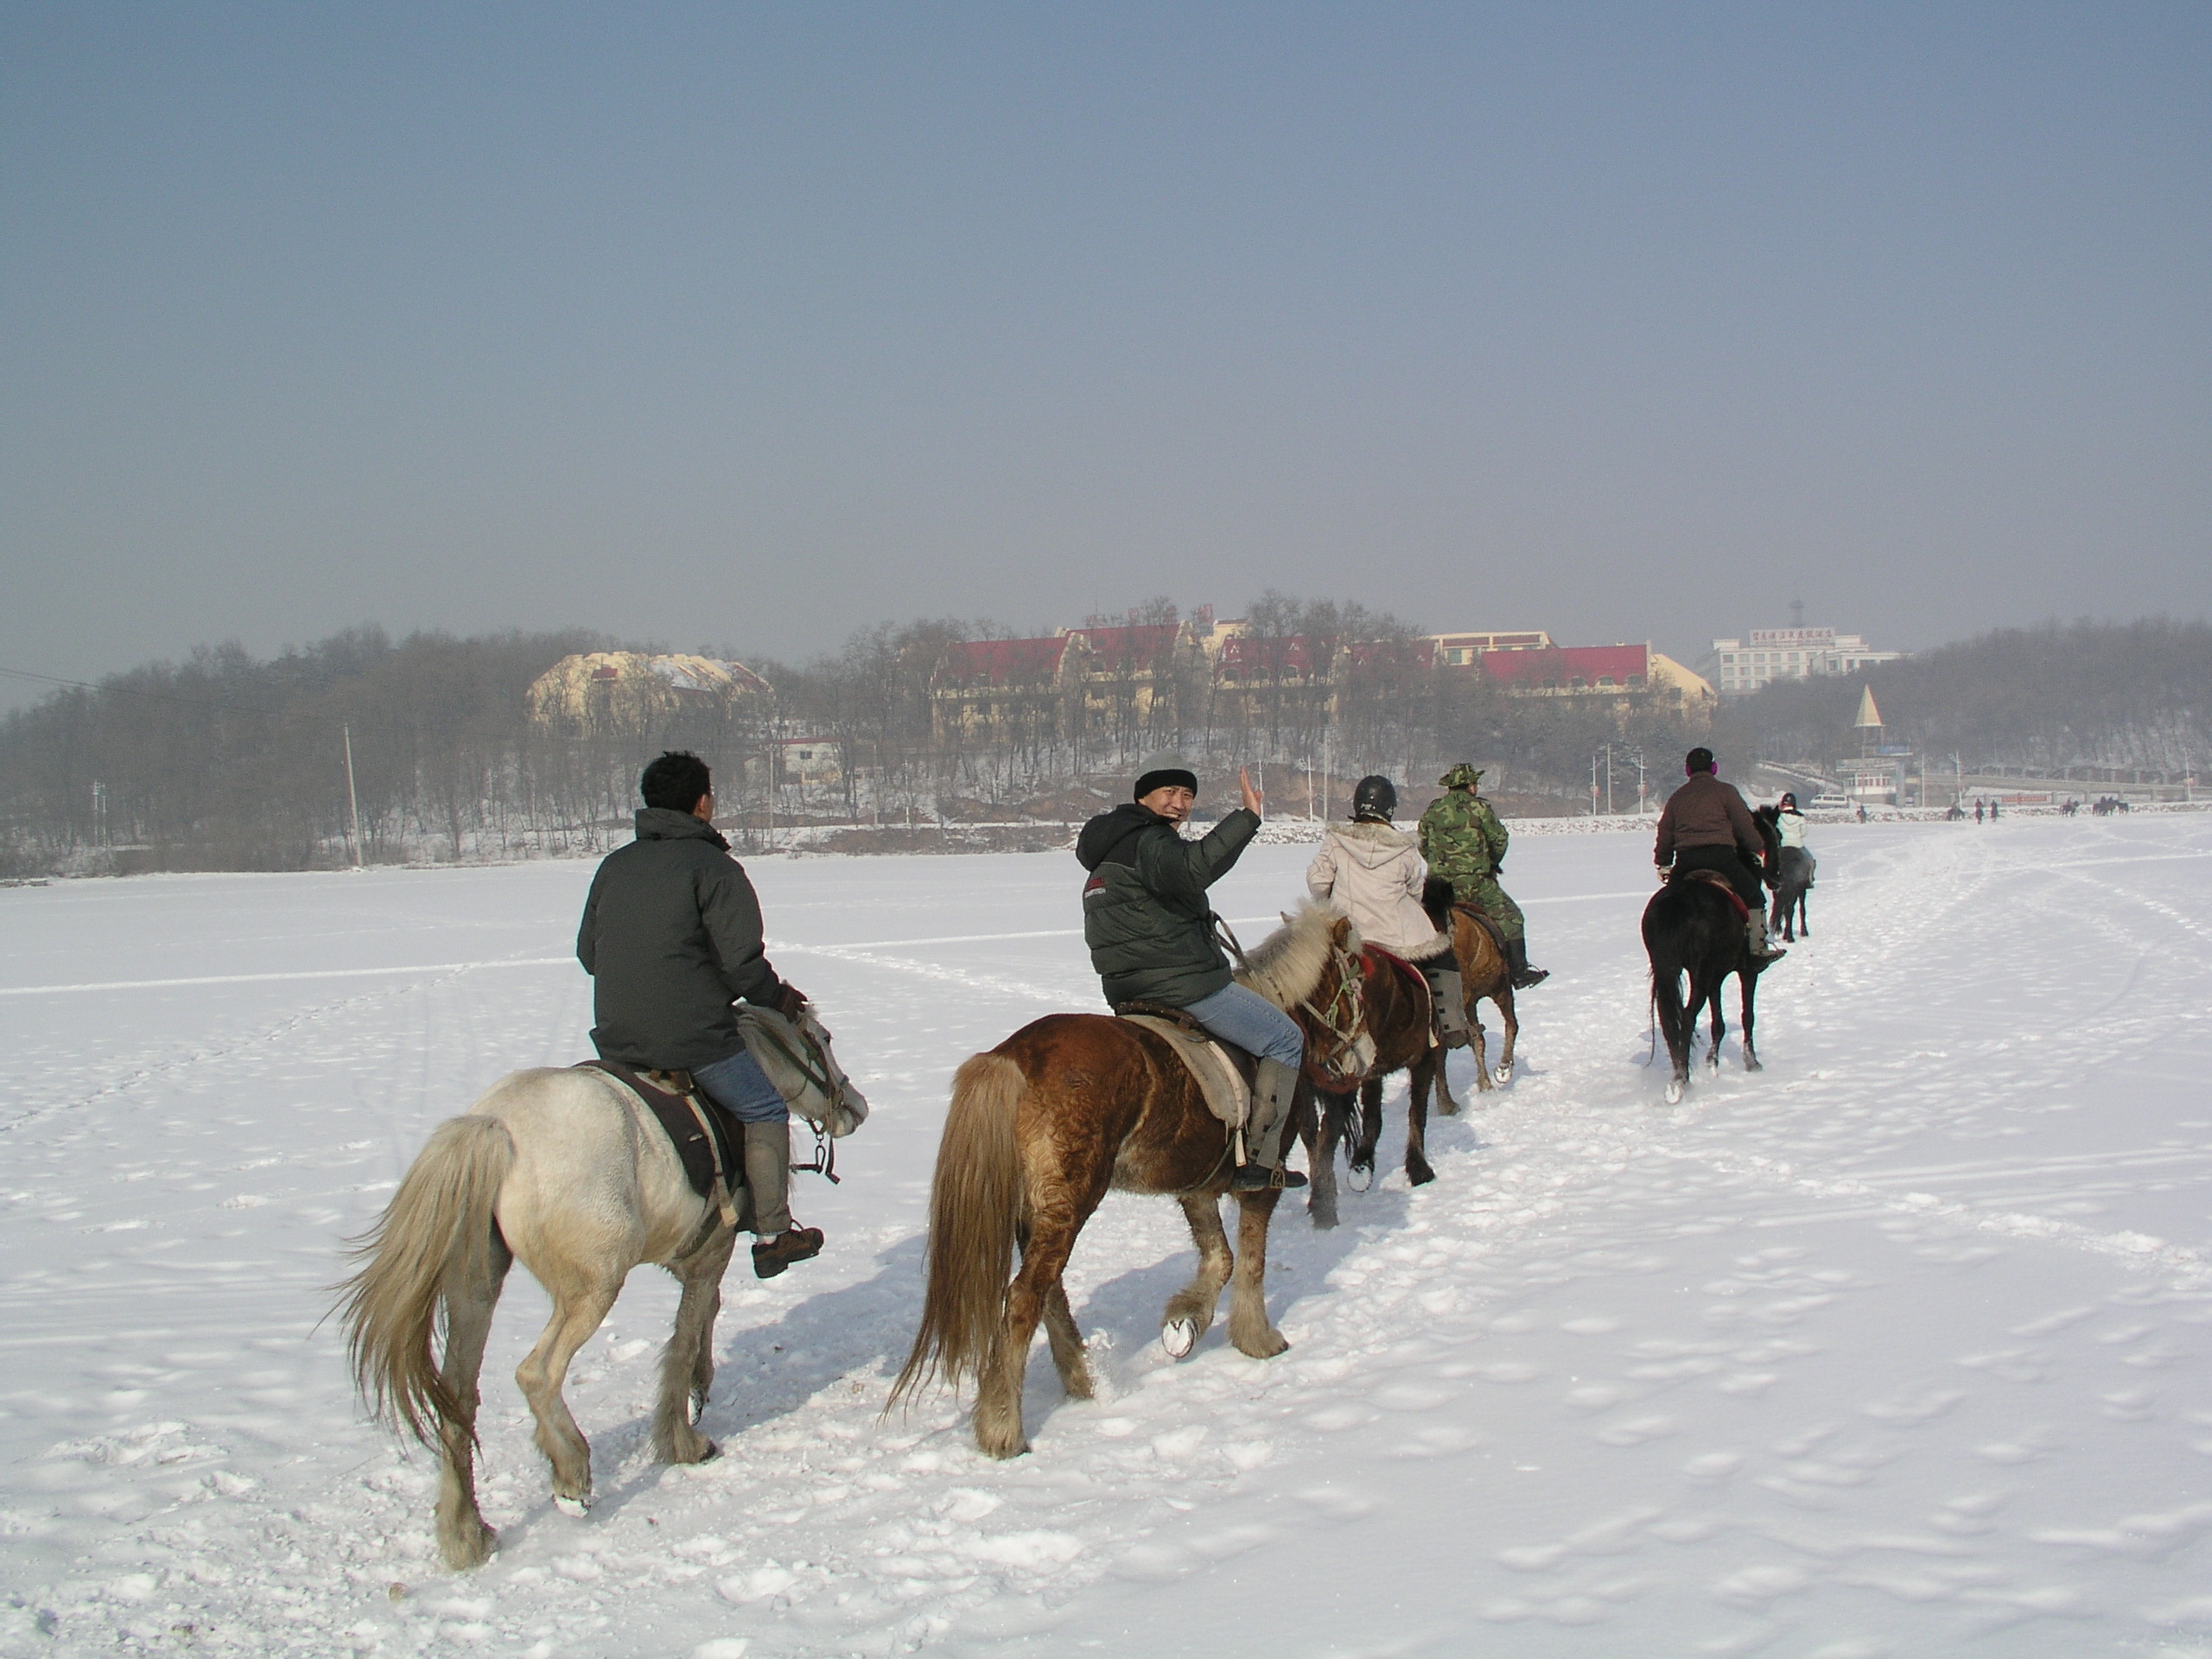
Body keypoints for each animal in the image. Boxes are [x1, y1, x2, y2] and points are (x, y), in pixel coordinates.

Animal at [889, 902, 1371, 1459]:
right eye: (1357, 977)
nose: (1364, 1054)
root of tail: (1011, 1057)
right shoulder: (1258, 1185)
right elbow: (1251, 1263)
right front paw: (1258, 1339)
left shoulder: (1197, 1186)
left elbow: (1221, 1259)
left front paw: (1185, 1323)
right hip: (1070, 1202)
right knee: (1026, 1298)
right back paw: (1004, 1429)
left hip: (1036, 1211)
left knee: (1050, 1294)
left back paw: (1082, 1382)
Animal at [1292, 946, 1451, 1238]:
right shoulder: (1423, 1060)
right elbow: (1416, 1114)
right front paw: (1419, 1171)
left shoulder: (1371, 1075)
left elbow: (1373, 1119)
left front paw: (1362, 1165)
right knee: (1326, 1132)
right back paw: (1324, 1208)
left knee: (1311, 1132)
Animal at [1645, 871, 1778, 1106]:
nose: (1777, 879)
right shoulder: (1746, 973)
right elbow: (1748, 1017)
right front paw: (1752, 1062)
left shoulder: (1716, 979)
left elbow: (1718, 1024)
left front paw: (1712, 1063)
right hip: (1701, 972)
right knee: (1688, 1016)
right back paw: (1685, 1081)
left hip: (1668, 970)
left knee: (1668, 1020)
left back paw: (1678, 1077)